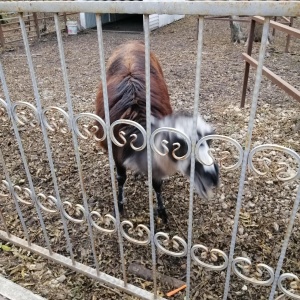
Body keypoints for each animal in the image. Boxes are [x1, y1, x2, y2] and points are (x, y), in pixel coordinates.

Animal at [95, 40, 219, 223]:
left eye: (209, 141)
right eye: (180, 146)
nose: (212, 176)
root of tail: (131, 43)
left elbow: (156, 182)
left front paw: (161, 211)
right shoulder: (116, 150)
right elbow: (121, 178)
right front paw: (120, 205)